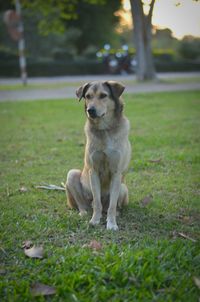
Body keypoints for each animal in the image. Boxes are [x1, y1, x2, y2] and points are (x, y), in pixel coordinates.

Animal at [65, 81, 131, 230]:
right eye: (88, 96)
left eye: (103, 95)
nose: (91, 110)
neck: (104, 129)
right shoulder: (93, 171)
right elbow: (97, 202)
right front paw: (95, 220)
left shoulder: (116, 173)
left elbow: (112, 205)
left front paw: (111, 224)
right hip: (72, 175)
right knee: (84, 204)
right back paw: (84, 213)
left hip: (123, 188)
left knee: (110, 206)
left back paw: (115, 213)